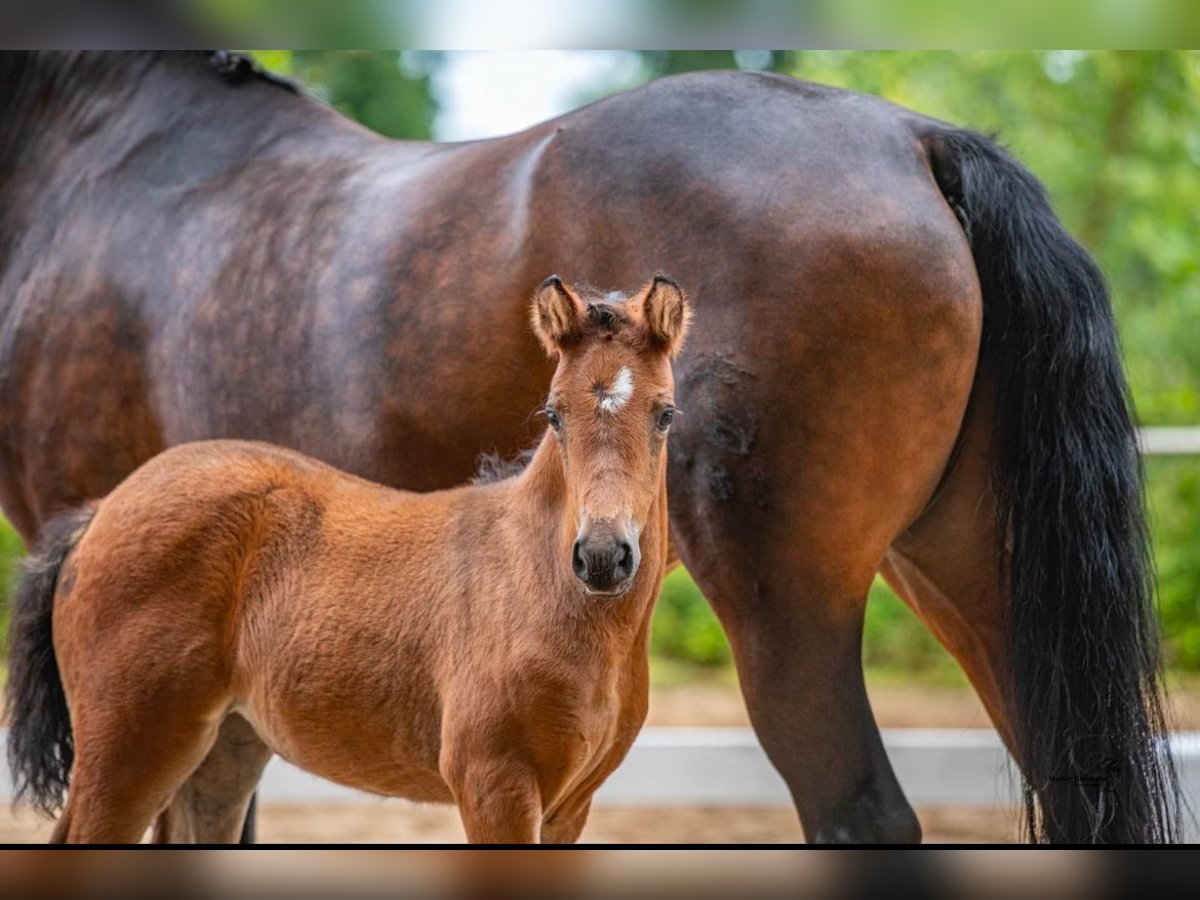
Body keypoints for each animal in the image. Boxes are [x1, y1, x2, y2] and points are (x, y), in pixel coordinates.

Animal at [7, 274, 696, 844]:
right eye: (554, 414)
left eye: (665, 414)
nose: (603, 557)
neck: (536, 583)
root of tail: (101, 511)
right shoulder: (493, 784)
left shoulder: (569, 806)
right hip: (128, 749)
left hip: (223, 747)